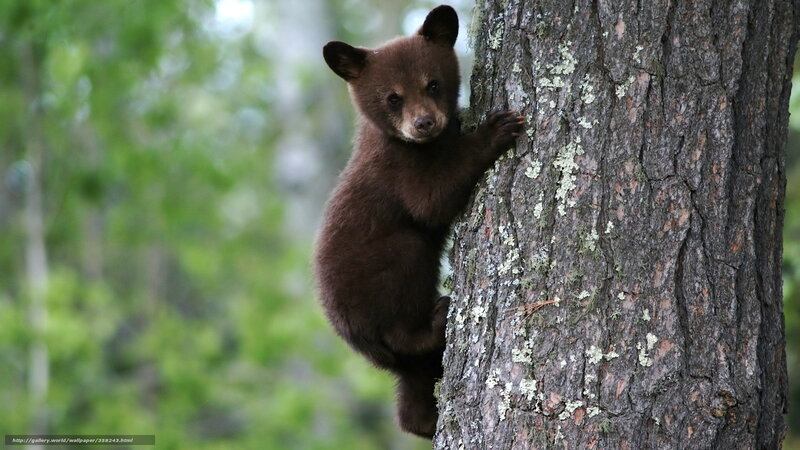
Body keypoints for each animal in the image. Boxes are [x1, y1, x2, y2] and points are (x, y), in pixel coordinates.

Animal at [314, 5, 524, 439]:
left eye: (433, 84)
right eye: (393, 97)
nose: (424, 123)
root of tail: (358, 341)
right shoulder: (397, 169)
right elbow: (431, 200)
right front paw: (495, 129)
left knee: (413, 387)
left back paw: (424, 421)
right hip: (384, 276)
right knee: (404, 304)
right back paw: (436, 318)